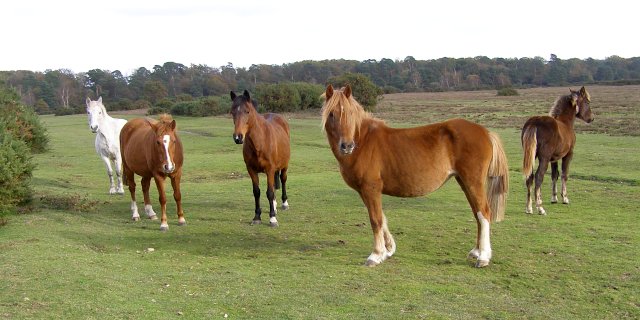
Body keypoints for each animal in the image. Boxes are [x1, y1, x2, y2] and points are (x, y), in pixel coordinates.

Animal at [230, 89, 290, 226]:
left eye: (247, 111)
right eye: (232, 112)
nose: (238, 137)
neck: (260, 142)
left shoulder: (269, 169)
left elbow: (269, 192)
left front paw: (272, 218)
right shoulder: (251, 170)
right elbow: (257, 192)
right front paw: (257, 216)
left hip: (284, 165)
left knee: (283, 180)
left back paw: (284, 203)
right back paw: (274, 205)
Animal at [322, 84, 508, 268]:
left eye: (350, 113)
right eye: (331, 114)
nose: (347, 146)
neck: (363, 142)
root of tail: (485, 132)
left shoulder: (371, 188)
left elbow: (376, 220)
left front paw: (376, 255)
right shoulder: (364, 192)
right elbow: (382, 218)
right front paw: (388, 250)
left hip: (473, 182)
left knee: (484, 213)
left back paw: (483, 257)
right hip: (464, 182)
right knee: (477, 214)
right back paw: (476, 251)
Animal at [524, 86, 592, 214]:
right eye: (587, 102)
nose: (591, 118)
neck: (565, 123)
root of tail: (534, 122)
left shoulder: (554, 158)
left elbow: (554, 175)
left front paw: (554, 198)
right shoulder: (568, 155)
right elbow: (564, 174)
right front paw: (564, 198)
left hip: (531, 156)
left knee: (530, 177)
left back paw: (529, 208)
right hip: (544, 158)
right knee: (538, 176)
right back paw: (540, 208)